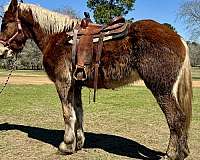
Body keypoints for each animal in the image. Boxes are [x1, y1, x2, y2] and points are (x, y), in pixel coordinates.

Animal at [0, 0, 192, 159]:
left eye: (5, 24)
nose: (2, 51)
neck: (56, 37)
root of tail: (178, 38)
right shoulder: (76, 85)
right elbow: (78, 113)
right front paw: (78, 143)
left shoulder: (63, 83)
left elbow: (67, 114)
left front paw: (66, 145)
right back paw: (182, 151)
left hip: (161, 88)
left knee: (175, 118)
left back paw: (171, 154)